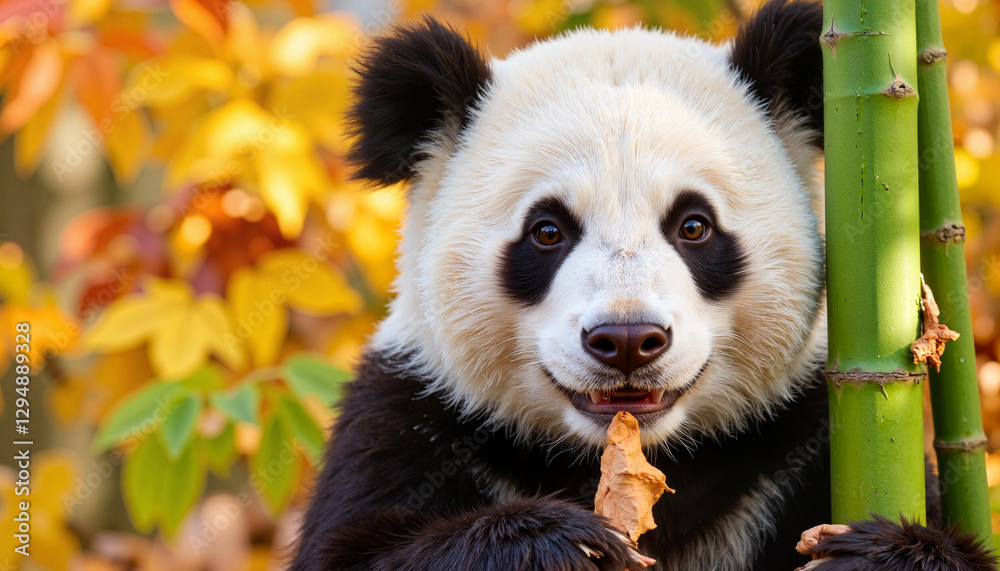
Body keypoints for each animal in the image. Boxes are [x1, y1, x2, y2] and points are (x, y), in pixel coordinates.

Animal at [291, 1, 996, 569]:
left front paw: (879, 553)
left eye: (694, 225)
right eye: (547, 231)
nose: (628, 340)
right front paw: (555, 544)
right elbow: (351, 549)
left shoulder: (798, 439)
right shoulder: (411, 418)